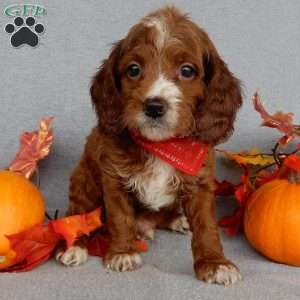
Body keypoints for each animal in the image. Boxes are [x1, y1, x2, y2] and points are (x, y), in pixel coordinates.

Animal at [56, 5, 243, 284]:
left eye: (187, 70)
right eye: (133, 69)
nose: (154, 106)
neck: (163, 145)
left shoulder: (200, 181)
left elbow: (206, 225)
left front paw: (215, 263)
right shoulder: (113, 177)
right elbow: (120, 217)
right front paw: (123, 253)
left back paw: (177, 220)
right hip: (83, 180)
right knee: (77, 213)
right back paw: (74, 246)